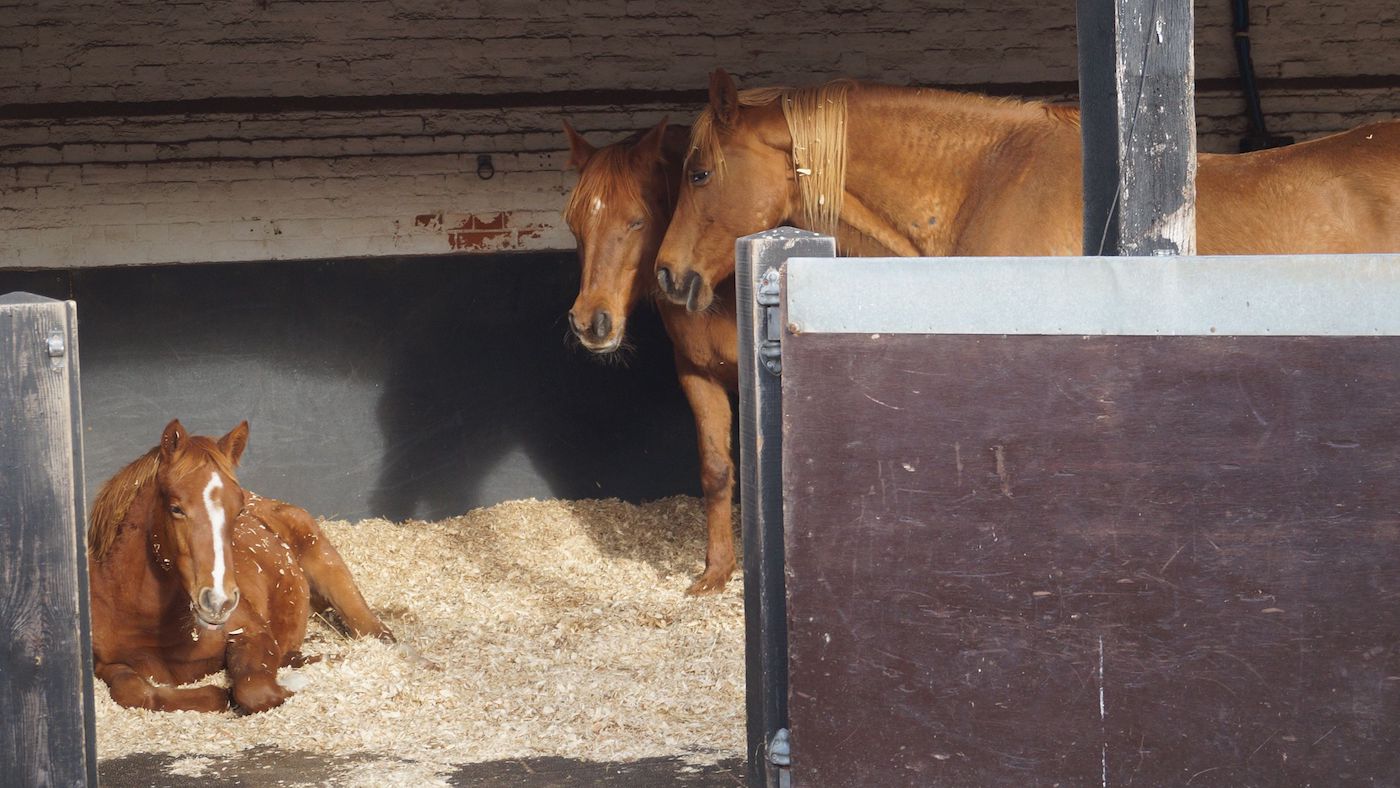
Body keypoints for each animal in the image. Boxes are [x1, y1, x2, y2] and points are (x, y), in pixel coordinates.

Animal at [88, 419, 398, 713]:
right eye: (175, 508)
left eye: (237, 510)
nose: (219, 601)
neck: (147, 618)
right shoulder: (105, 665)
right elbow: (133, 691)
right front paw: (212, 695)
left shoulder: (252, 633)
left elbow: (254, 691)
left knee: (378, 633)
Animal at [562, 119, 741, 595]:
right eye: (573, 223)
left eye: (637, 220)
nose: (590, 322)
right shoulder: (697, 373)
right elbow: (716, 470)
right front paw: (717, 571)